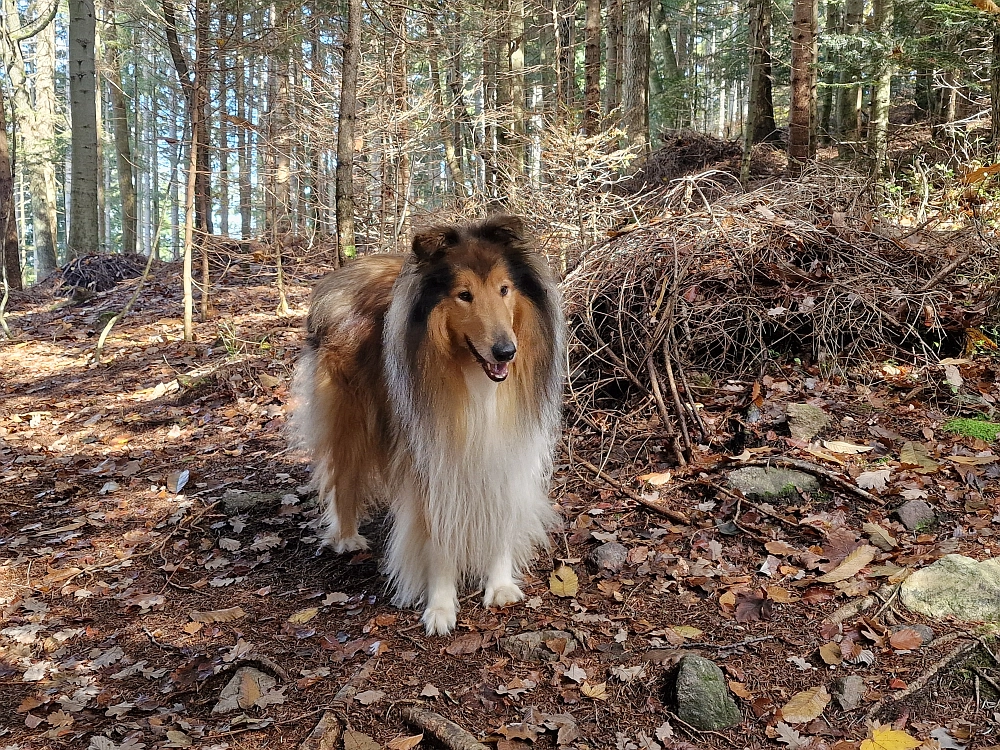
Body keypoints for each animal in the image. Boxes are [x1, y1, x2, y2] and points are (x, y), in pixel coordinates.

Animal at [292, 216, 568, 636]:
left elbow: (500, 515)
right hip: (350, 420)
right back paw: (346, 537)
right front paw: (440, 607)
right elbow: (437, 538)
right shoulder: (428, 461)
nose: (506, 352)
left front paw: (500, 585)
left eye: (504, 289)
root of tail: (344, 275)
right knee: (342, 477)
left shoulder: (507, 448)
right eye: (464, 295)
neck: (474, 379)